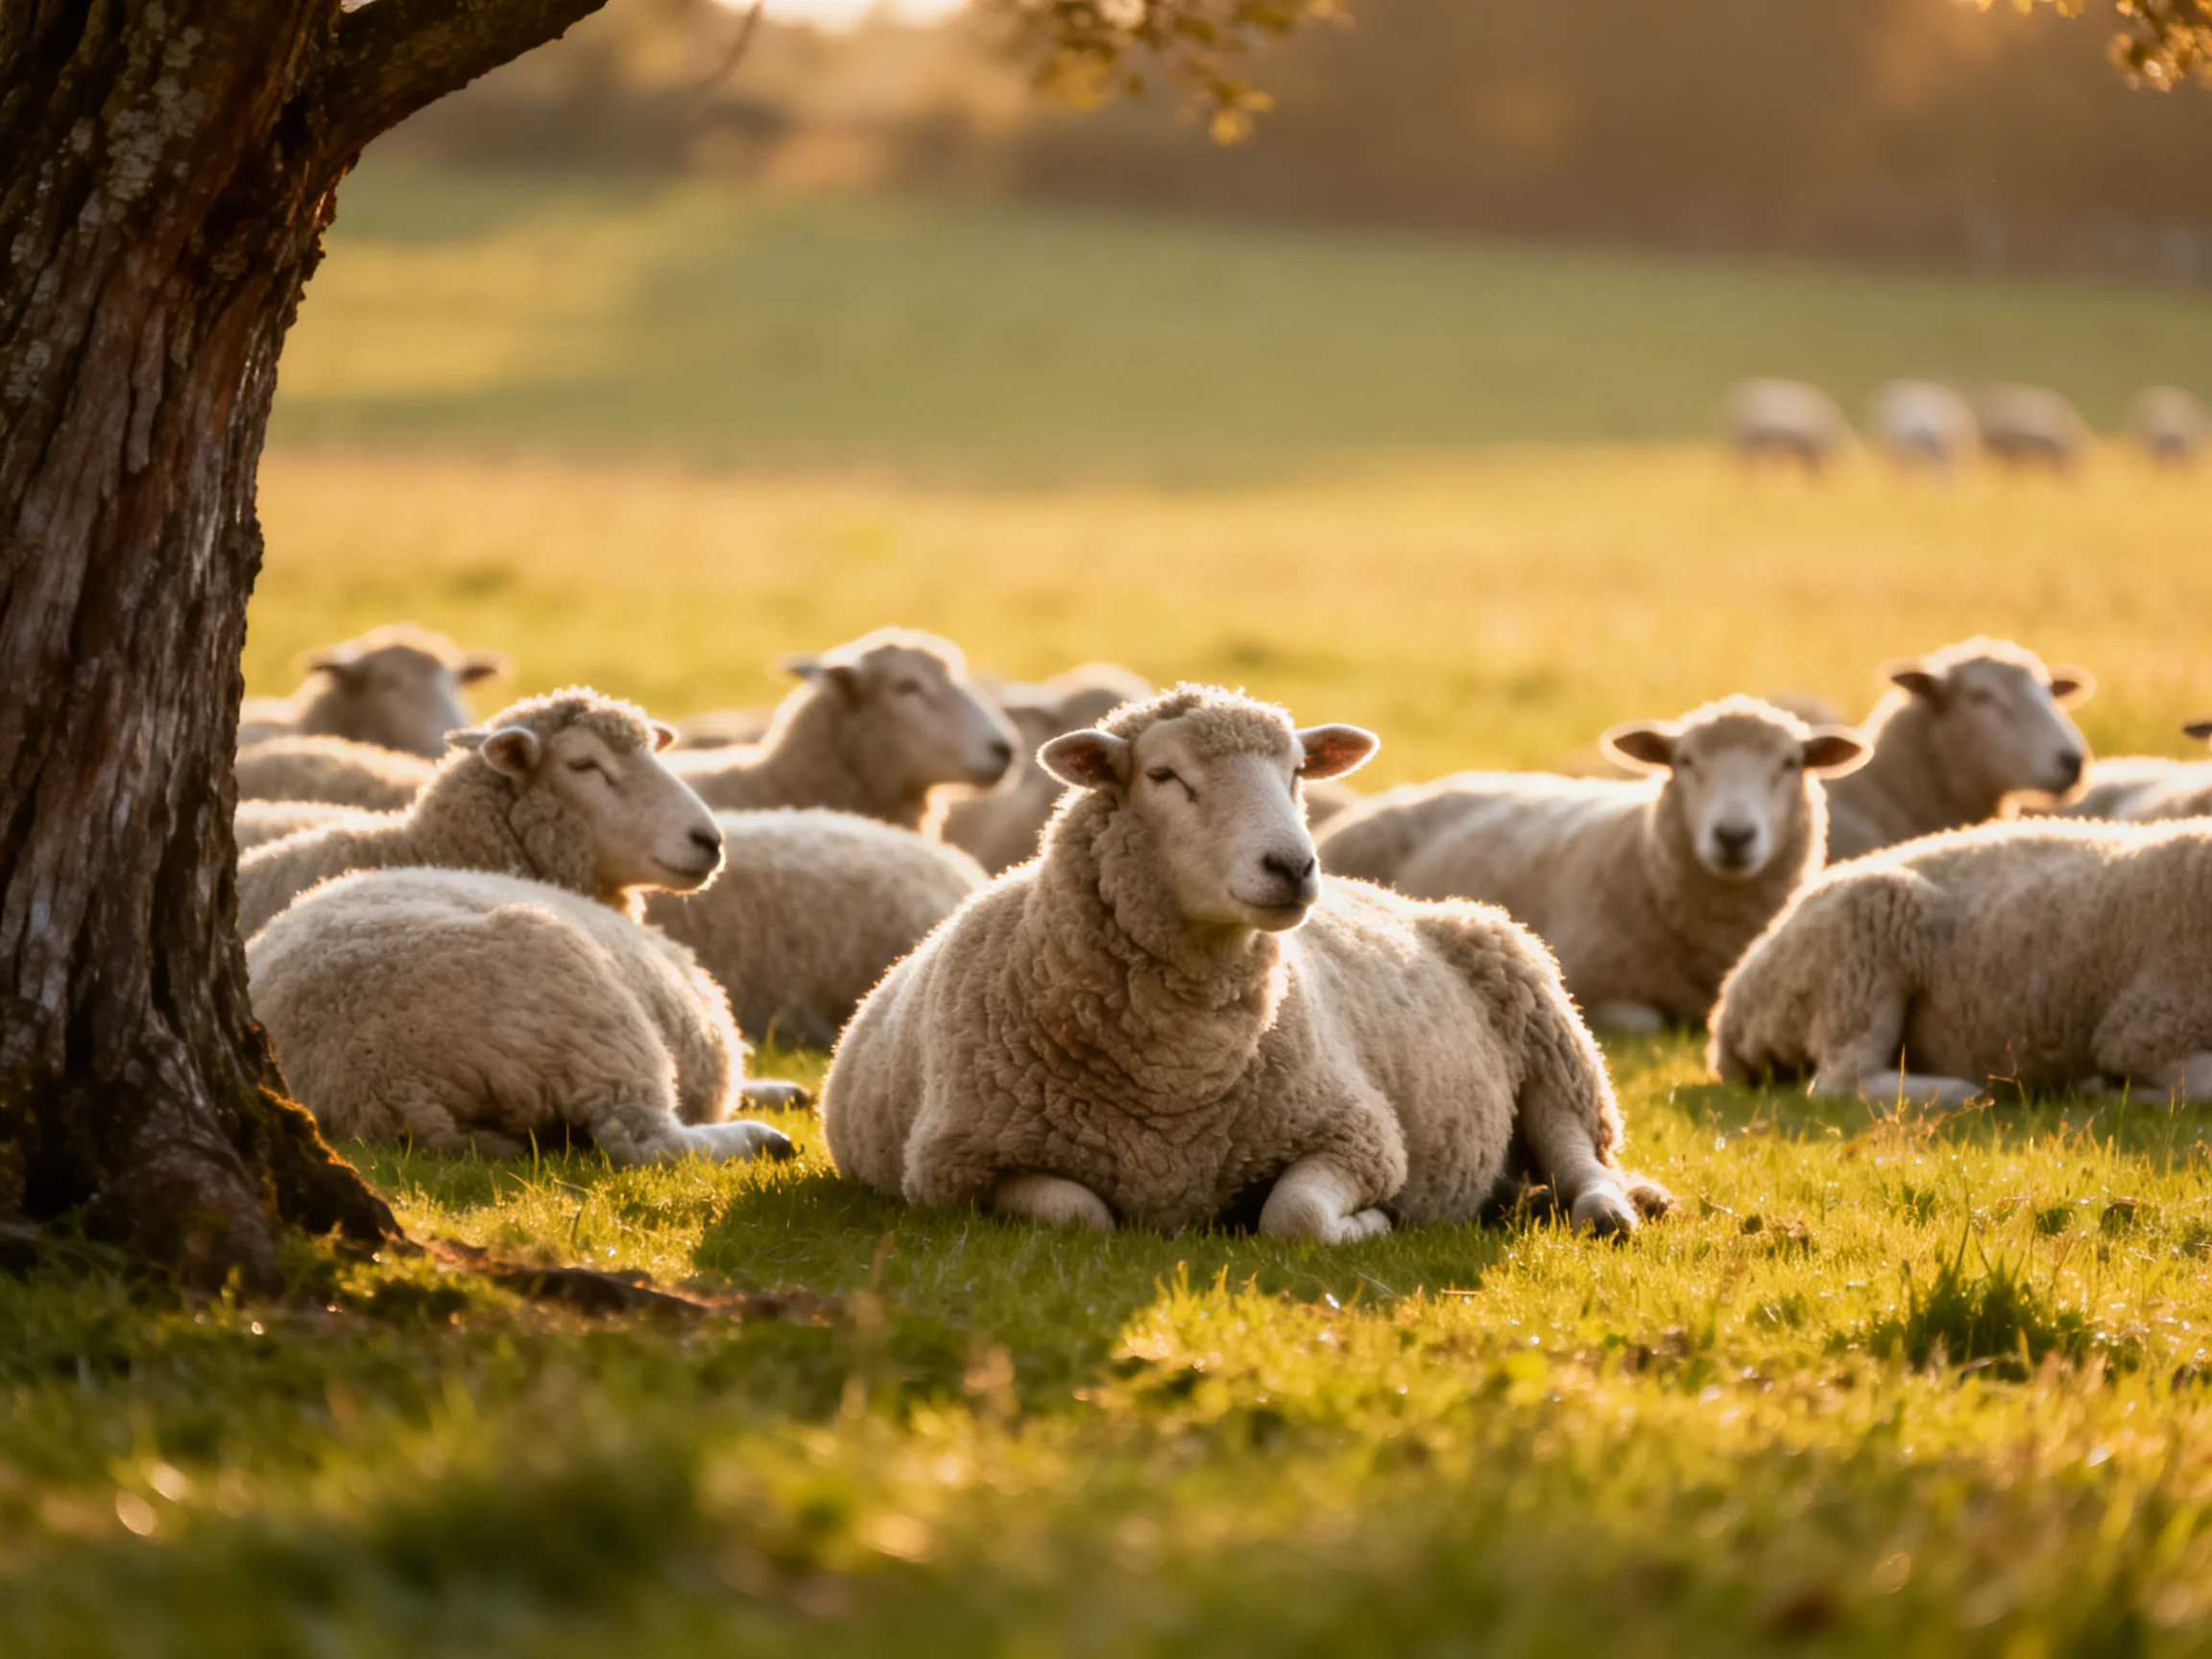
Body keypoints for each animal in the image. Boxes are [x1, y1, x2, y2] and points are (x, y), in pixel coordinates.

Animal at [819, 685, 1674, 1241]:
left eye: (1297, 772)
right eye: (1163, 776)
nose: (1294, 866)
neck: (1174, 1083)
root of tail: (1412, 900)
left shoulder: (1359, 1132)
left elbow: (1293, 1218)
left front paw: (1372, 1222)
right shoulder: (956, 1171)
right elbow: (1083, 1216)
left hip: (1549, 1036)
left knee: (1576, 1153)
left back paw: (1613, 1210)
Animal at [1709, 817, 2212, 1106]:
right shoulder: (2143, 1030)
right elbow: (2199, 1088)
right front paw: (2118, 1093)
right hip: (1862, 946)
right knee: (1840, 1080)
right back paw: (1957, 1092)